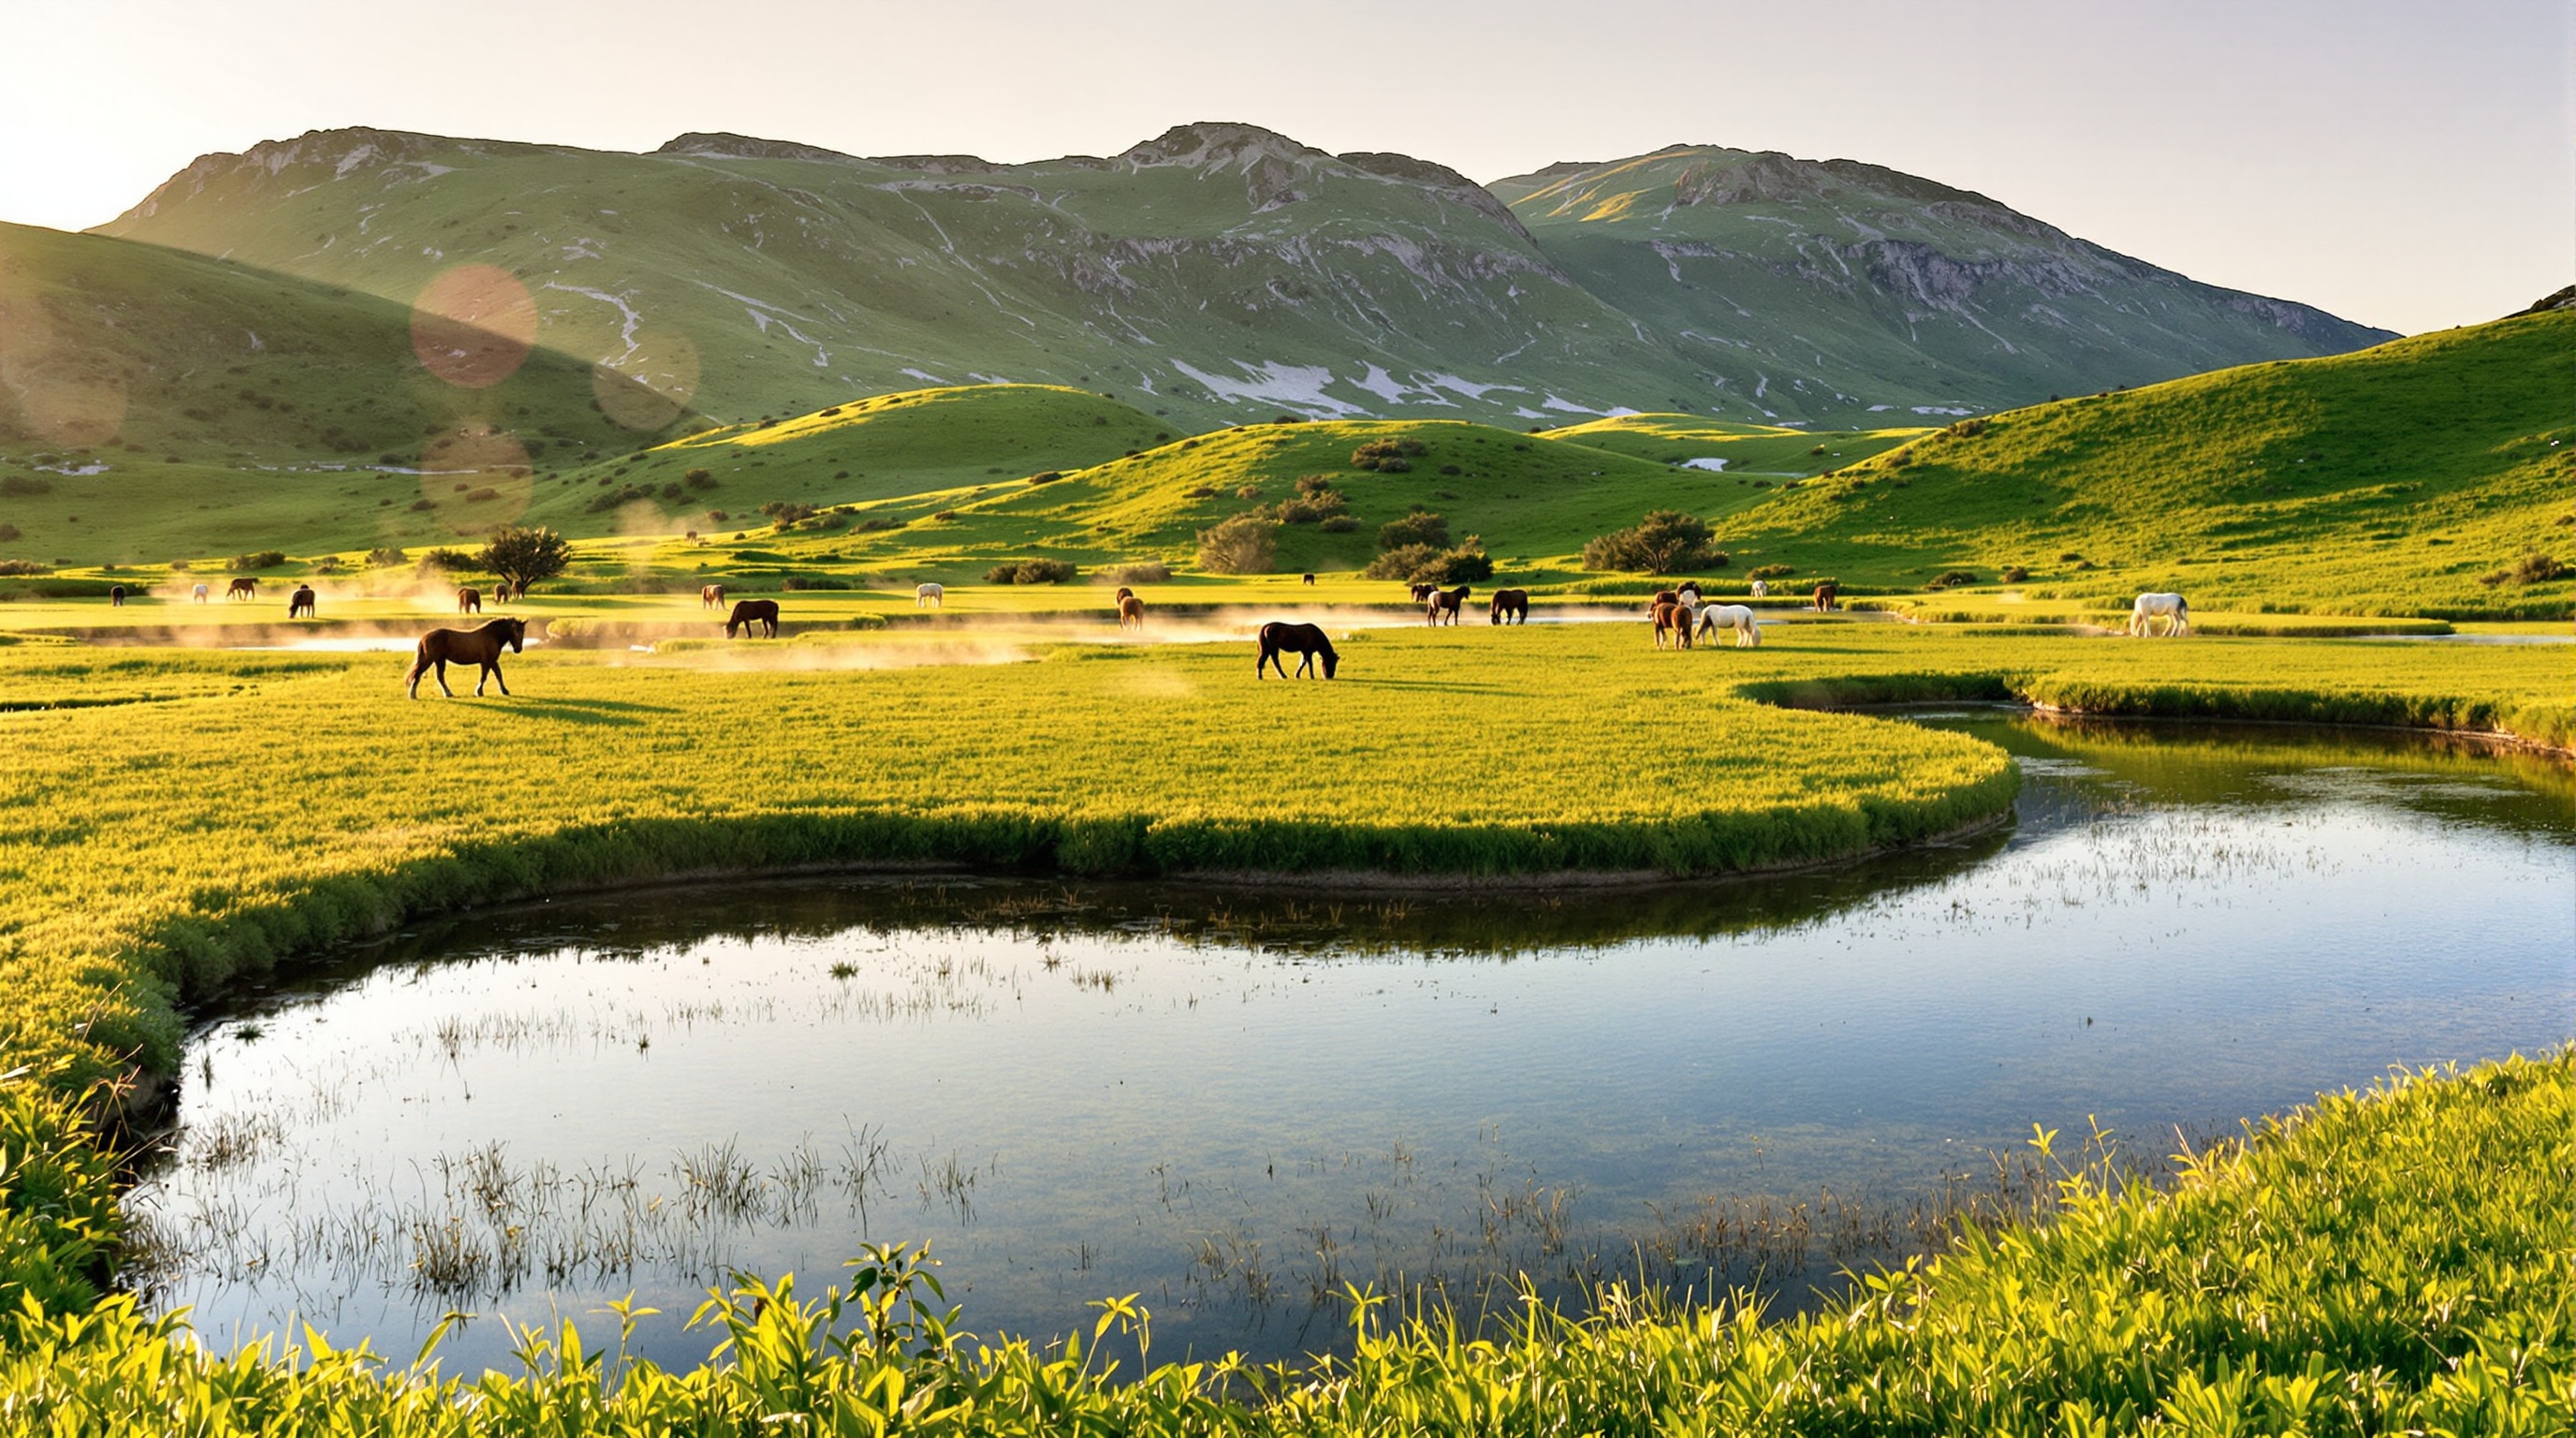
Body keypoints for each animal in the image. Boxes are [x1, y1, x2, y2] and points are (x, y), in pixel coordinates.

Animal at [406, 617, 526, 699]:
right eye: (514, 631)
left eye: (523, 632)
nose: (518, 649)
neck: (492, 635)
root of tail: (424, 636)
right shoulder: (486, 661)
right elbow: (484, 676)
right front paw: (479, 692)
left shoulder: (492, 661)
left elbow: (498, 674)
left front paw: (504, 691)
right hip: (429, 660)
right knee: (418, 674)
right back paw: (412, 695)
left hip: (439, 660)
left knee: (439, 677)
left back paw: (448, 693)